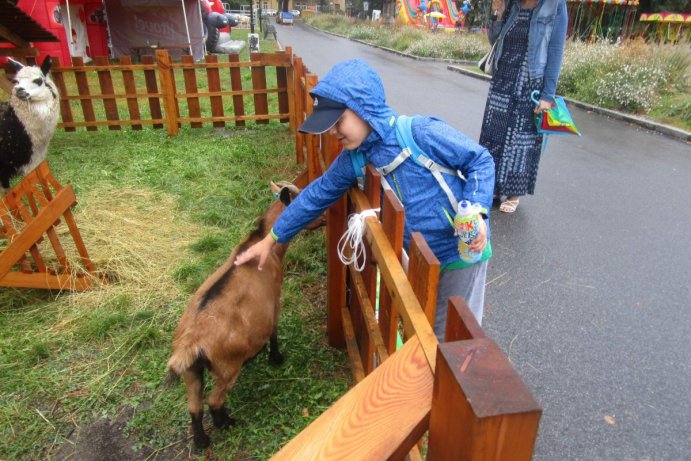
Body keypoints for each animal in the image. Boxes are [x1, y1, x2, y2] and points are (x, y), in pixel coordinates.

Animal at [166, 181, 324, 448]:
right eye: (302, 198)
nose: (323, 218)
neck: (261, 243)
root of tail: (190, 343)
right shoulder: (275, 298)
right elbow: (273, 330)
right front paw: (275, 357)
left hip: (191, 372)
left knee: (195, 407)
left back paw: (202, 442)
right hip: (227, 365)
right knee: (214, 400)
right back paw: (227, 422)